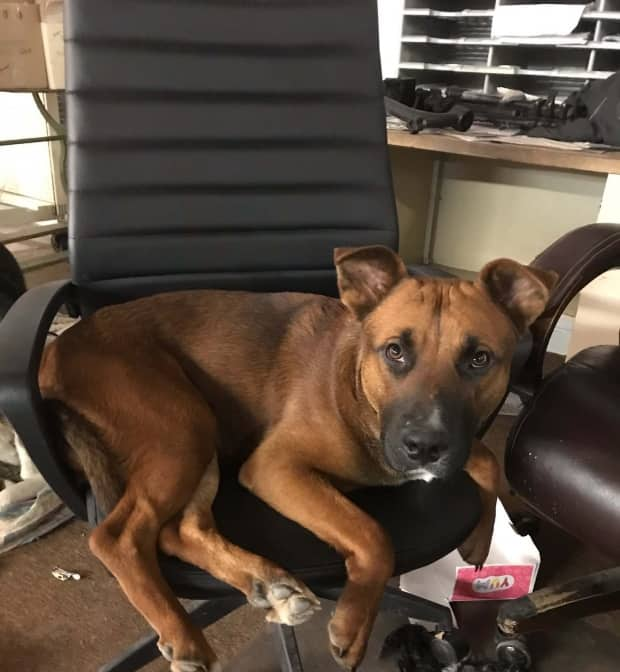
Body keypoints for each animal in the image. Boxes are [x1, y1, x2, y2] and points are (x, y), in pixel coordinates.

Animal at [37, 247, 552, 672]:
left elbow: (487, 462)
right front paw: (353, 622)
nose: (423, 447)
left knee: (180, 529)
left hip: (201, 440)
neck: (356, 386)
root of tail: (60, 347)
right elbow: (372, 534)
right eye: (395, 351)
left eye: (480, 359)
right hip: (181, 429)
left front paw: (480, 540)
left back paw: (268, 584)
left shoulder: (452, 444)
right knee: (119, 536)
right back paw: (184, 634)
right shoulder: (275, 467)